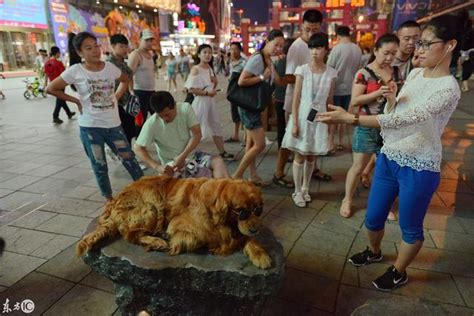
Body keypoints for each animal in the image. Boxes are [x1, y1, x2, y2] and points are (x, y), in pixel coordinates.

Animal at [76, 175, 272, 270]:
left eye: (257, 210)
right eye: (241, 211)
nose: (255, 229)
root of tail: (114, 201)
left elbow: (247, 239)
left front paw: (260, 255)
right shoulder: (180, 224)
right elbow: (197, 237)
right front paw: (174, 241)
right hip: (152, 205)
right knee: (132, 235)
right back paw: (157, 240)